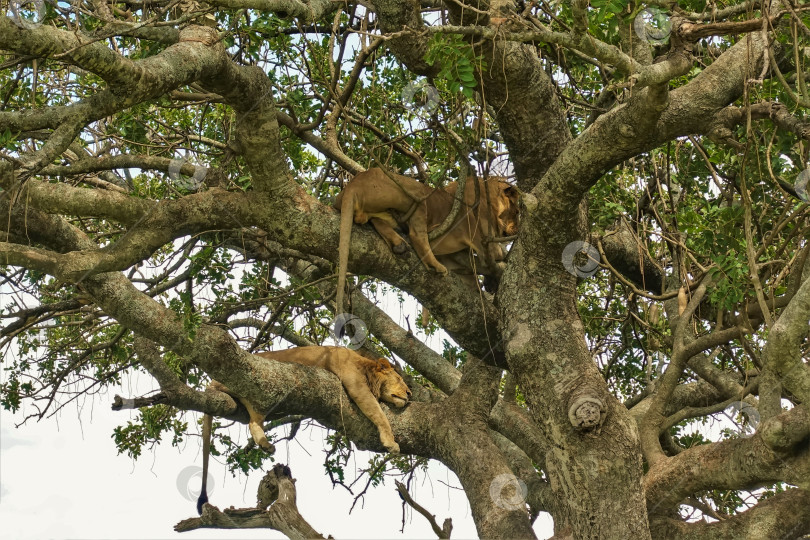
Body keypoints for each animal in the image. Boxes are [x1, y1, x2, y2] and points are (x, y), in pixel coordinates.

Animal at [196, 346, 410, 516]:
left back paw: (266, 445)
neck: (364, 366)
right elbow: (379, 414)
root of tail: (212, 381)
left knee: (253, 421)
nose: (409, 393)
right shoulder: (357, 386)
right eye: (399, 379)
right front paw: (391, 443)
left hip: (259, 400)